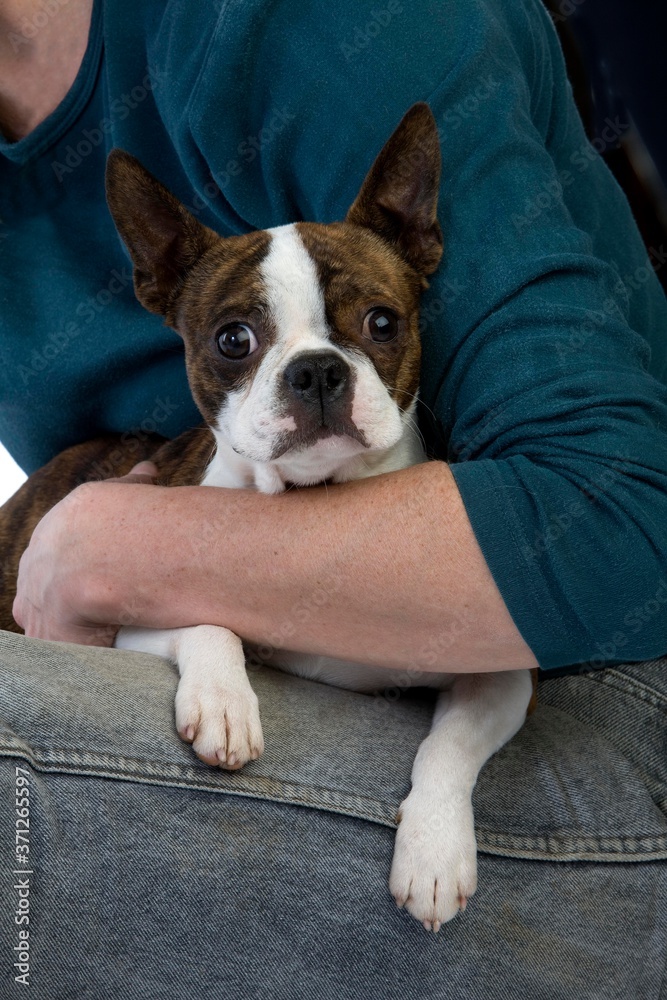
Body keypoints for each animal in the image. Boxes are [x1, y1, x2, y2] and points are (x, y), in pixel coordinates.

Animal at [0, 103, 532, 928]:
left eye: (382, 323)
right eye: (233, 339)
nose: (316, 371)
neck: (312, 500)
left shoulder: (502, 671)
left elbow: (448, 746)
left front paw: (434, 850)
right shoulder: (120, 616)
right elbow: (206, 623)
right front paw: (224, 703)